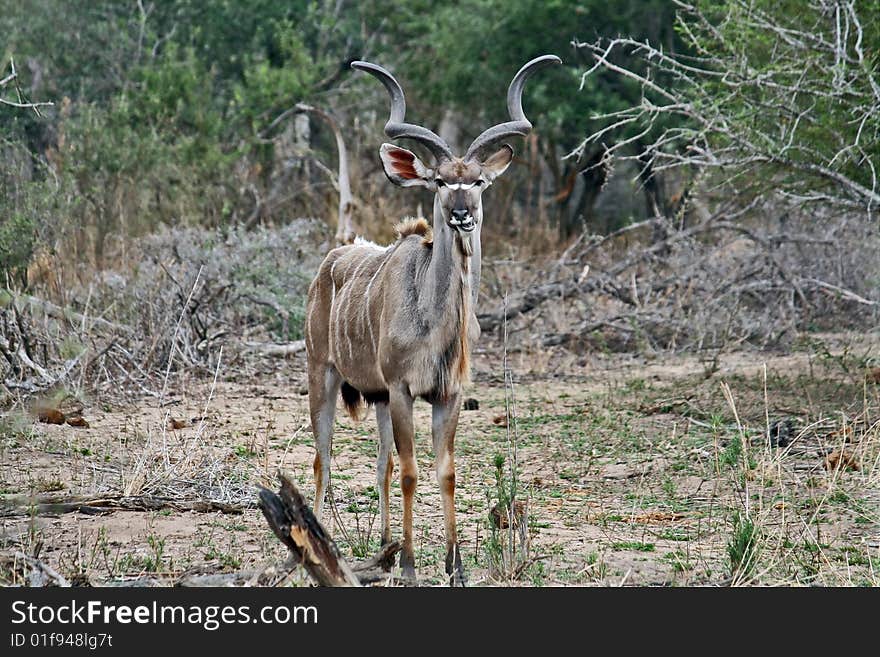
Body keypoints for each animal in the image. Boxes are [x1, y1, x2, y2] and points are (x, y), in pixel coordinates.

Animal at [306, 53, 560, 580]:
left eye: (478, 181)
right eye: (441, 181)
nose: (462, 214)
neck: (435, 319)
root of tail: (330, 261)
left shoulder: (449, 394)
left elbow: (445, 471)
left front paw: (454, 565)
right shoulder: (404, 389)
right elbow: (411, 471)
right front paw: (409, 566)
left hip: (377, 398)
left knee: (379, 461)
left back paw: (382, 544)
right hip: (323, 374)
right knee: (324, 457)